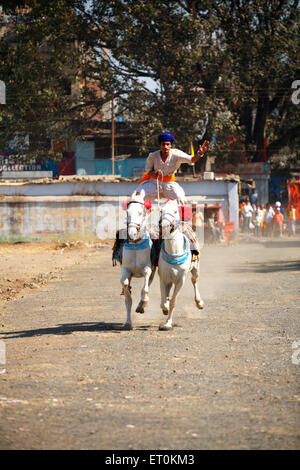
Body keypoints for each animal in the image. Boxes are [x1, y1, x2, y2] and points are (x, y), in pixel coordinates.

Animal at [120, 191, 156, 330]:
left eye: (141, 212)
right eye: (127, 212)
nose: (132, 233)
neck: (135, 245)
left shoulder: (148, 268)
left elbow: (145, 288)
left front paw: (144, 303)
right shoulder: (126, 270)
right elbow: (125, 285)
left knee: (148, 285)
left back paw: (141, 305)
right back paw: (128, 322)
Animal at [157, 198, 204, 330]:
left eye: (174, 211)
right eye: (161, 210)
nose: (164, 226)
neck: (174, 250)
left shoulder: (180, 280)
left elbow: (173, 302)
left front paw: (168, 323)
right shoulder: (163, 278)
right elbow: (163, 301)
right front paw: (165, 309)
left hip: (195, 269)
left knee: (194, 281)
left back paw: (199, 302)